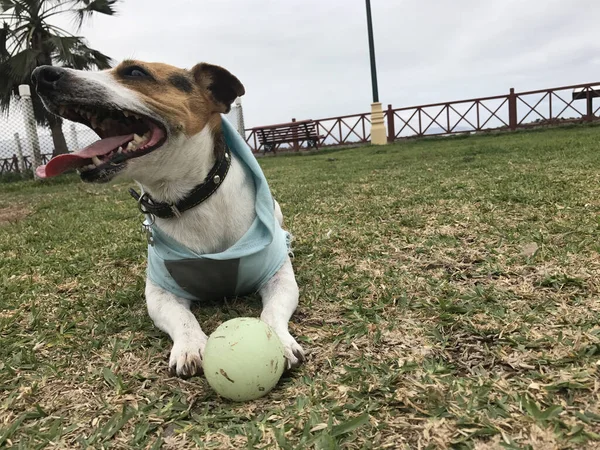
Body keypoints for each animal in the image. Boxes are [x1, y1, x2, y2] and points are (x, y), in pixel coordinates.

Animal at [31, 59, 304, 376]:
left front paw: (279, 340)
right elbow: (182, 318)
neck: (188, 199)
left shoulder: (278, 278)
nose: (41, 75)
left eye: (135, 72)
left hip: (277, 211)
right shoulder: (160, 292)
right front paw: (190, 345)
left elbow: (272, 310)